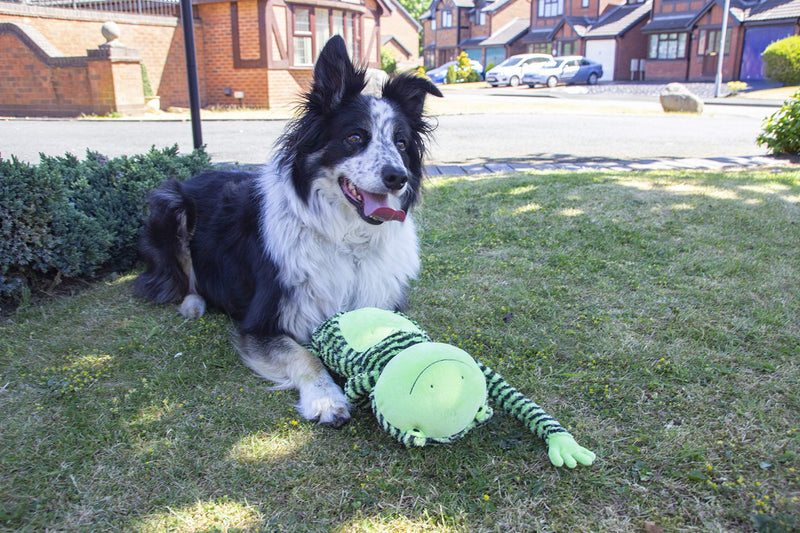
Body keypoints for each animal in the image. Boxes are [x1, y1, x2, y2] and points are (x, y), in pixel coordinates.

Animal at [134, 36, 440, 428]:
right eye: (355, 137)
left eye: (401, 143)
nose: (397, 177)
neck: (347, 240)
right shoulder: (261, 323)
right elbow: (303, 354)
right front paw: (326, 398)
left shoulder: (384, 303)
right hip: (170, 203)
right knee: (172, 278)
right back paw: (192, 302)